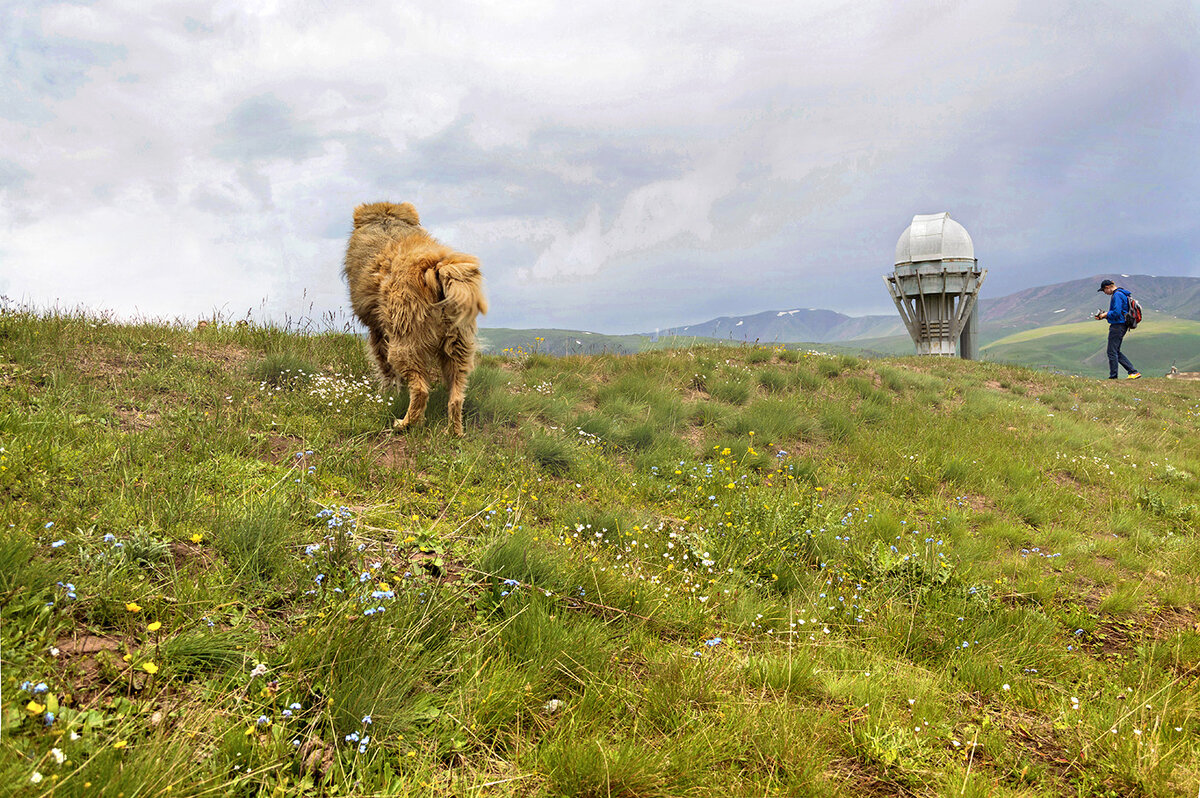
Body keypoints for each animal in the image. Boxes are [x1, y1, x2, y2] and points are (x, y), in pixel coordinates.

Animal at [343, 200, 487, 436]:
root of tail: (438, 268)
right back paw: (454, 432)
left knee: (420, 390)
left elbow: (386, 370)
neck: (387, 225)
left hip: (405, 346)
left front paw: (387, 393)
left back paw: (405, 424)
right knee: (456, 397)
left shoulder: (378, 332)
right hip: (458, 347)